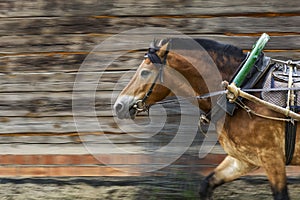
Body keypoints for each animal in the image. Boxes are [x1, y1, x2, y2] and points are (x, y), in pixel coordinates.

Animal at [112, 38, 298, 200]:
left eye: (144, 72)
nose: (118, 106)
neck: (244, 86)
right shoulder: (243, 160)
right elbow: (206, 185)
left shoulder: (272, 157)